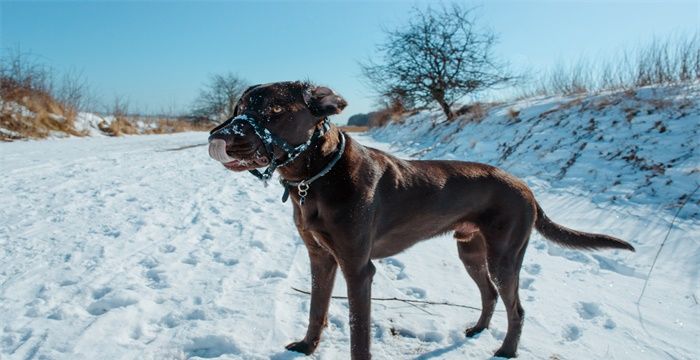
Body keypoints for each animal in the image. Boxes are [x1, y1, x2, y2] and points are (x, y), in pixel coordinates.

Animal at [206, 82, 636, 360]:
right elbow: (317, 309)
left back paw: (505, 350)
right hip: (471, 251)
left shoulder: (358, 268)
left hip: (505, 255)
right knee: (490, 294)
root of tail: (526, 188)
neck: (317, 176)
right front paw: (307, 347)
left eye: (274, 111)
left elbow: (359, 332)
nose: (216, 136)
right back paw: (478, 330)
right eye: (237, 108)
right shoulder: (321, 257)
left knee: (517, 308)